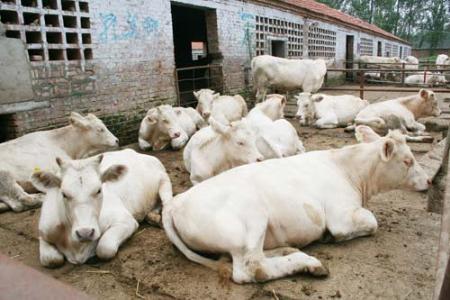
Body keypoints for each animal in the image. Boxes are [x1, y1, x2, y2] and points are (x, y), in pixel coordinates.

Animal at [31, 149, 172, 266]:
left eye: (99, 190)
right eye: (64, 194)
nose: (85, 233)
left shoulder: (125, 220)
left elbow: (104, 248)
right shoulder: (44, 232)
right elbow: (51, 259)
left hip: (164, 179)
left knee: (167, 202)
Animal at [163, 126, 430, 284]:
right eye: (407, 160)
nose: (428, 180)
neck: (348, 170)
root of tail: (176, 201)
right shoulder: (341, 216)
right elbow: (371, 222)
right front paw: (331, 238)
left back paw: (288, 251)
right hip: (250, 218)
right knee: (252, 267)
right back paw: (308, 263)